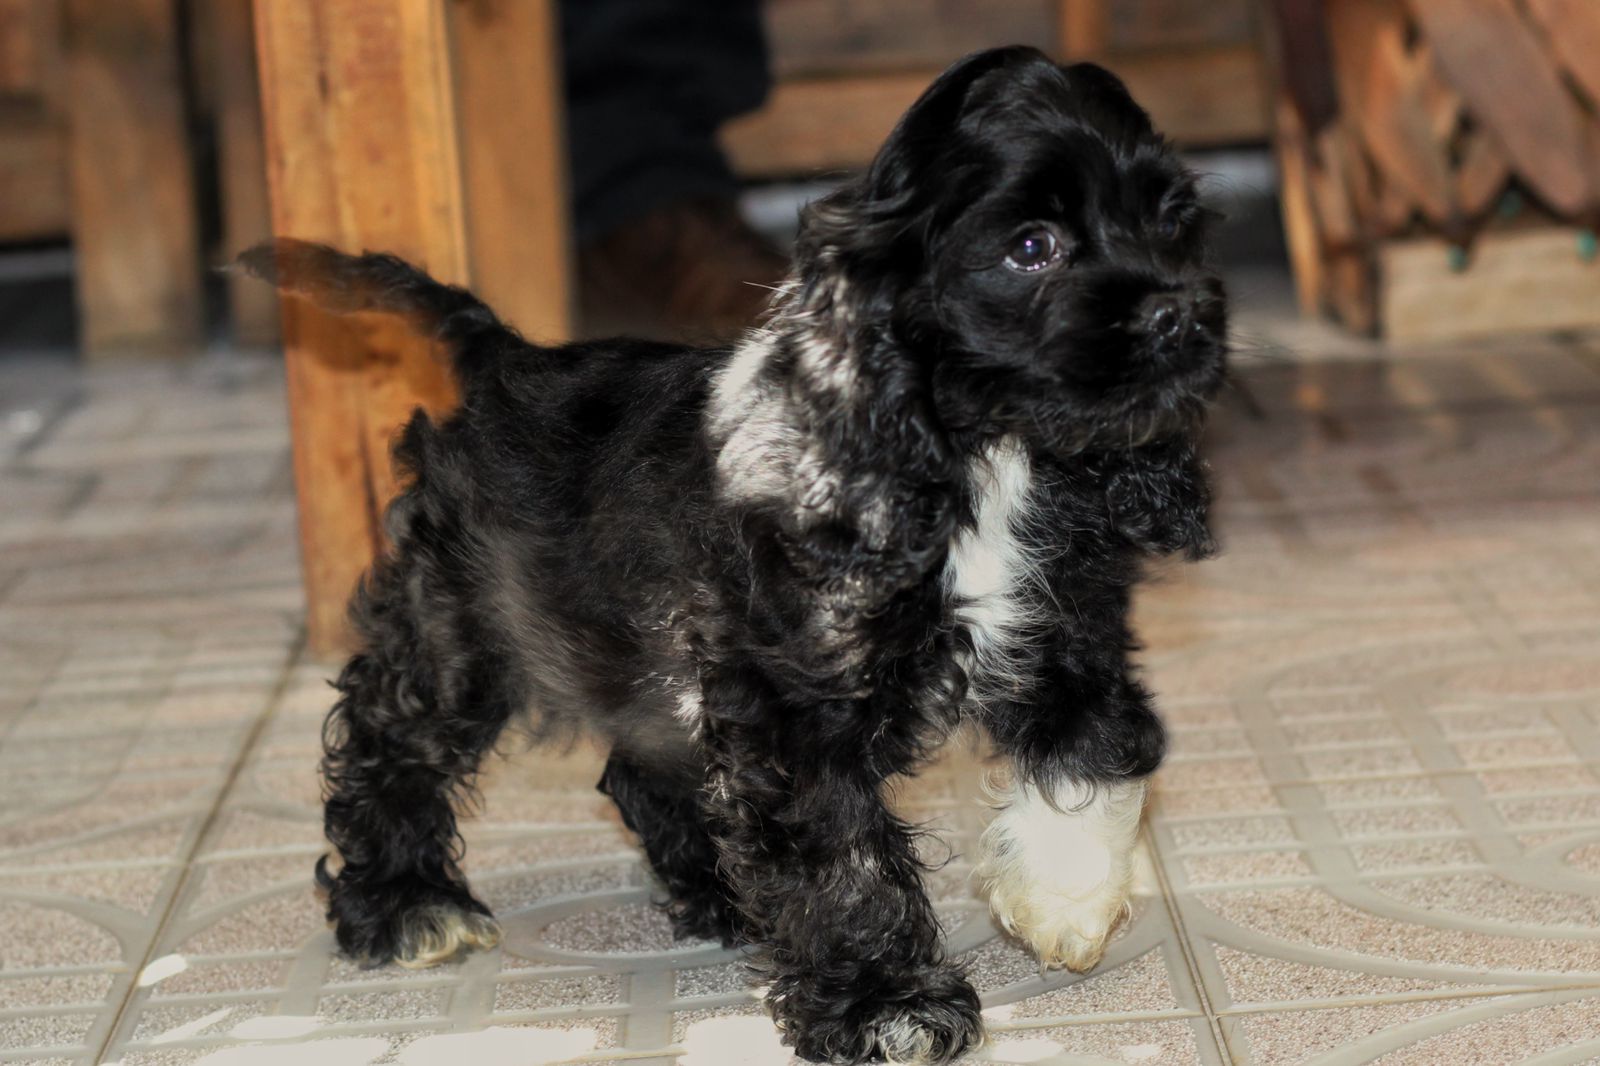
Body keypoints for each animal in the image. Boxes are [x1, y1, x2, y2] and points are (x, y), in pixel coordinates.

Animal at [246, 45, 1222, 1062]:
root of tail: (502, 357)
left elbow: (1100, 747)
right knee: (390, 731)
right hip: (466, 628)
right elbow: (843, 860)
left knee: (645, 769)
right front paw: (887, 1006)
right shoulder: (793, 707)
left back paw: (723, 894)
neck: (981, 459)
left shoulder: (1066, 629)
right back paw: (406, 907)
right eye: (1033, 246)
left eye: (1172, 223)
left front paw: (1064, 902)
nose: (1179, 316)